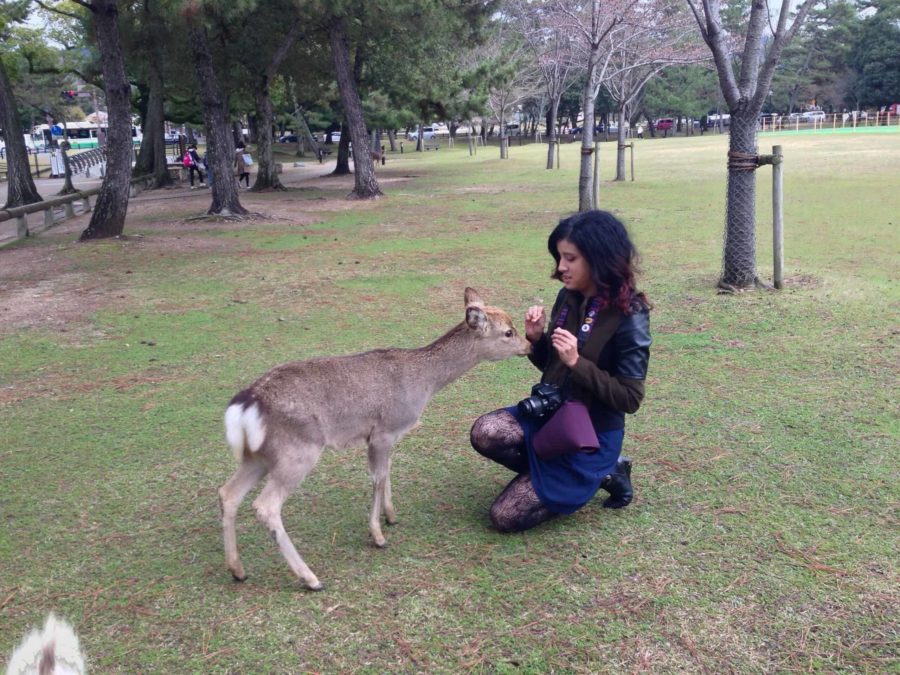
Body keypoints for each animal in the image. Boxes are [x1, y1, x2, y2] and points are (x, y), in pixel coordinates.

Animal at [219, 288, 530, 590]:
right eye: (508, 332)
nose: (528, 346)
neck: (424, 384)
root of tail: (248, 404)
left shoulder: (387, 436)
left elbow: (387, 471)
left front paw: (391, 516)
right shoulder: (384, 430)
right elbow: (378, 478)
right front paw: (378, 536)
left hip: (257, 456)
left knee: (228, 493)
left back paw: (237, 570)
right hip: (297, 451)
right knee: (266, 506)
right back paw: (310, 579)